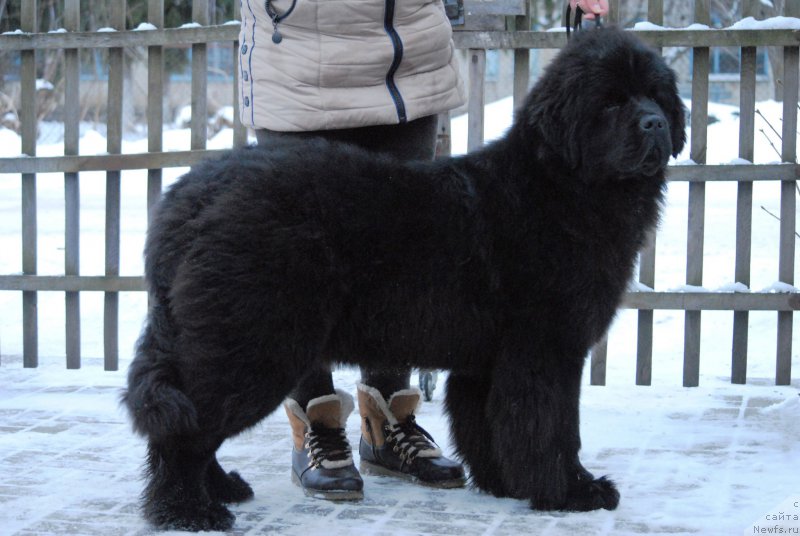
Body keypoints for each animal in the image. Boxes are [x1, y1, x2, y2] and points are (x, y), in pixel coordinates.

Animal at [125, 27, 688, 528]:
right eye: (610, 103)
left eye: (657, 96)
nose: (655, 124)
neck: (560, 186)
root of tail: (190, 197)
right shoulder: (545, 349)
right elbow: (552, 429)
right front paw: (574, 492)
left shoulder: (487, 360)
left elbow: (490, 426)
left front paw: (506, 485)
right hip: (252, 341)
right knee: (187, 429)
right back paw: (189, 510)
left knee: (183, 420)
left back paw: (218, 489)